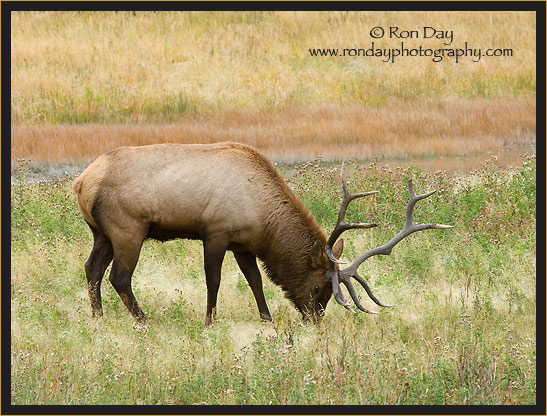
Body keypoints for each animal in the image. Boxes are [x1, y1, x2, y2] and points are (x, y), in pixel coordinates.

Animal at [73, 143, 452, 324]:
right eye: (319, 287)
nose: (315, 320)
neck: (263, 220)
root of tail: (81, 182)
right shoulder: (216, 232)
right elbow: (214, 280)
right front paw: (209, 321)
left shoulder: (244, 243)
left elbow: (255, 280)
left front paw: (266, 318)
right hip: (128, 229)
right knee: (119, 277)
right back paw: (143, 320)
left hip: (101, 233)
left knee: (92, 269)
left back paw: (98, 317)